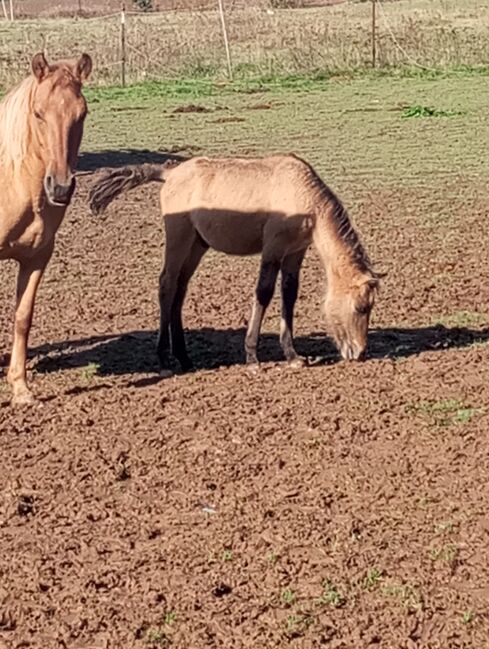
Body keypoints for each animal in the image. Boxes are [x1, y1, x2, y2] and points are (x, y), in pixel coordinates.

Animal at [0, 52, 92, 404]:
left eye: (82, 114)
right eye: (39, 113)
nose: (61, 187)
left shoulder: (37, 258)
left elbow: (22, 317)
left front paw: (21, 389)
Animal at [90, 154, 382, 372]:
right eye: (360, 307)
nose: (359, 352)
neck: (301, 195)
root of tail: (170, 174)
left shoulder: (294, 253)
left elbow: (289, 296)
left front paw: (292, 356)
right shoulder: (272, 250)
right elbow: (263, 294)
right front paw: (252, 358)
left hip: (197, 245)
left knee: (180, 290)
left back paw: (184, 357)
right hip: (178, 239)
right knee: (167, 285)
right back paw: (163, 359)